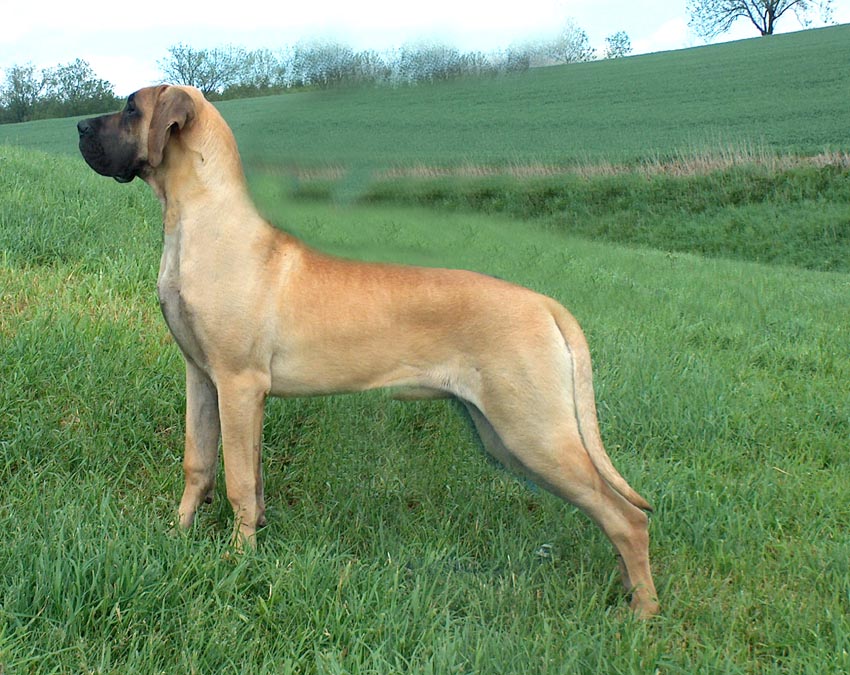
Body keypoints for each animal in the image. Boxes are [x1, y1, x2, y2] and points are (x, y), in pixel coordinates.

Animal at [77, 84, 659, 617]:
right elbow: (201, 463)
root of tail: (547, 305)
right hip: (505, 434)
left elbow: (240, 480)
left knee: (628, 517)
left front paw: (237, 561)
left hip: (534, 430)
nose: (80, 127)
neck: (201, 222)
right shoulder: (202, 378)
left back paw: (644, 612)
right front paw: (177, 537)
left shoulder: (239, 385)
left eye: (130, 108)